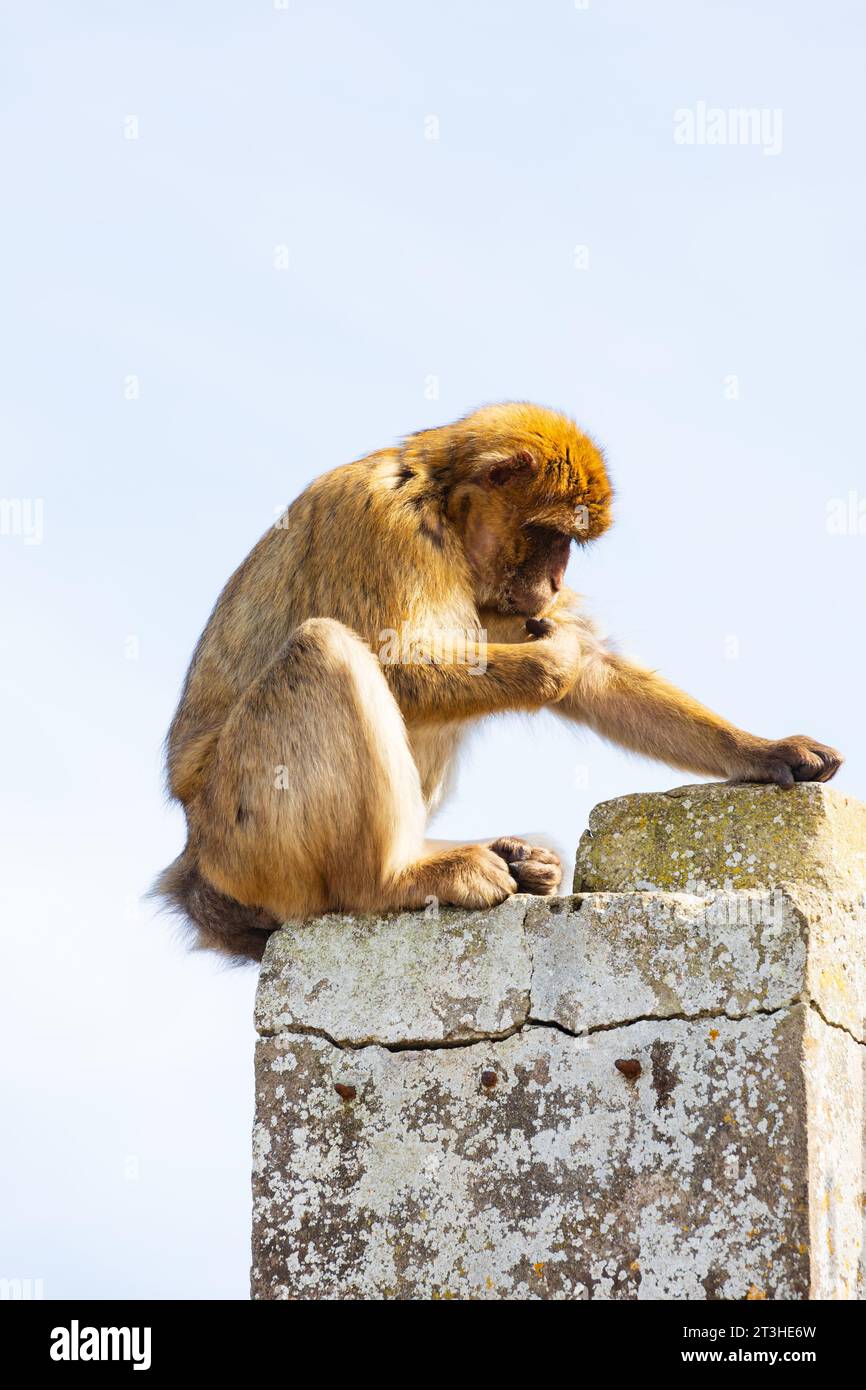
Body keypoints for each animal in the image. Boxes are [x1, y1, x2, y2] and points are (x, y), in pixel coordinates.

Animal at [152, 403, 845, 967]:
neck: (438, 507)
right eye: (551, 534)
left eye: (571, 542)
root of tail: (196, 864)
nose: (558, 582)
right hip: (247, 841)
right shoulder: (382, 524)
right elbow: (398, 664)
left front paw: (762, 750)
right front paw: (553, 661)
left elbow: (599, 676)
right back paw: (390, 881)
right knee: (324, 649)